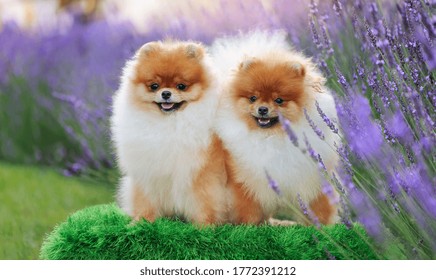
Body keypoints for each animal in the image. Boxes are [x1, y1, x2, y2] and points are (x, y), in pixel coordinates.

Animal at [110, 40, 228, 225]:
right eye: (154, 86)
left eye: (181, 86)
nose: (166, 93)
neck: (170, 123)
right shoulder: (147, 173)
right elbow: (144, 201)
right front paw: (140, 222)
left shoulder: (201, 173)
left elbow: (205, 201)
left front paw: (205, 226)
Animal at [211, 31, 340, 225]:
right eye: (253, 98)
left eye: (279, 100)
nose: (263, 109)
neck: (272, 137)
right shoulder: (245, 182)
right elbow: (249, 212)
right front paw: (249, 228)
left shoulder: (313, 182)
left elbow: (317, 212)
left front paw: (320, 228)